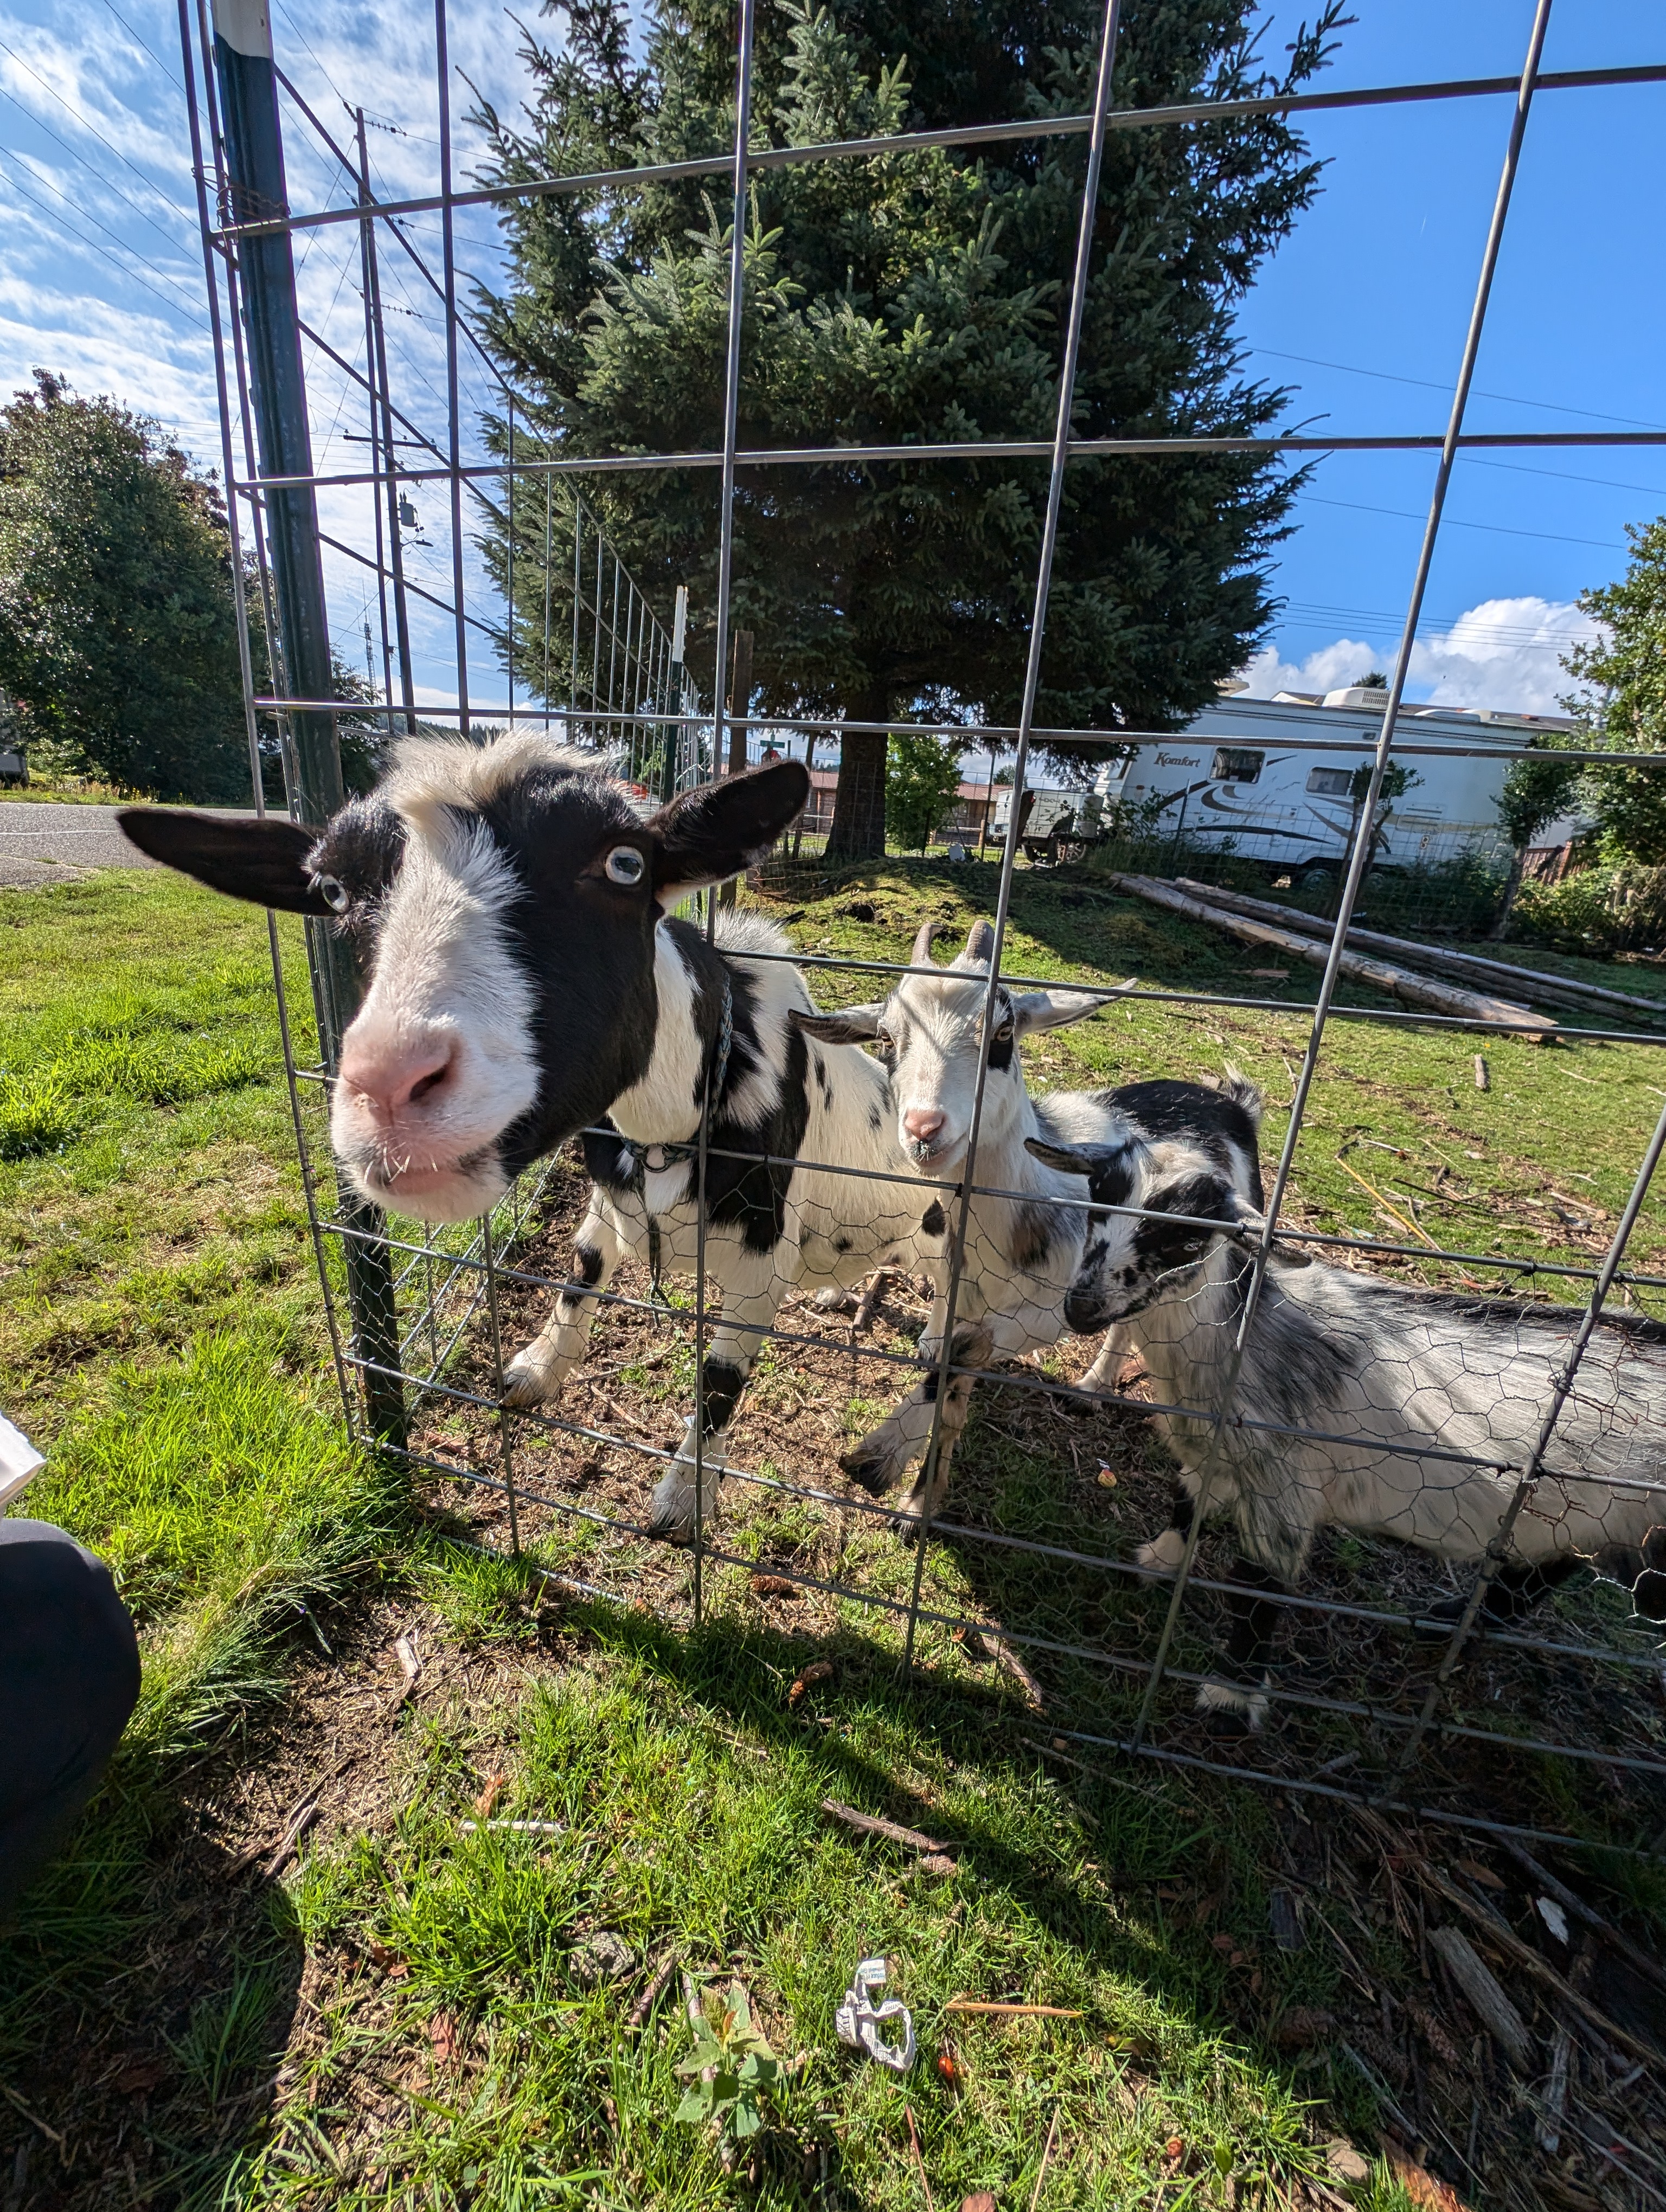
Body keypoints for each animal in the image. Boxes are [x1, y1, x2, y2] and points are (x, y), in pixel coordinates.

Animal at [120, 738, 943, 1535]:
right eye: (331, 893)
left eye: (625, 864)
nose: (388, 1087)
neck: (665, 1131)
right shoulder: (611, 1196)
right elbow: (580, 1272)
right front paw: (535, 1370)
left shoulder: (760, 1263)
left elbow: (719, 1381)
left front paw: (683, 1500)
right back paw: (843, 1299)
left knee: (951, 1346)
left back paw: (891, 1447)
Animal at [795, 918, 1264, 1521]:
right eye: (885, 1039)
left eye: (1002, 1034)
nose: (924, 1129)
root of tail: (1229, 1105)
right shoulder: (965, 1292)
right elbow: (952, 1369)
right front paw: (918, 1491)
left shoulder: (1057, 1310)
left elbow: (965, 1354)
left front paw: (883, 1463)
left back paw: (1095, 1386)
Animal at [1026, 1127, 1666, 1725]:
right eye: (1098, 1197)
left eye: (1186, 1238)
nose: (1081, 1308)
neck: (1242, 1330)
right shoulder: (1217, 1447)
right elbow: (1184, 1501)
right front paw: (1157, 1561)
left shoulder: (1284, 1487)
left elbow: (1256, 1590)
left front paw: (1231, 1696)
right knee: (1549, 1568)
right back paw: (1445, 1624)